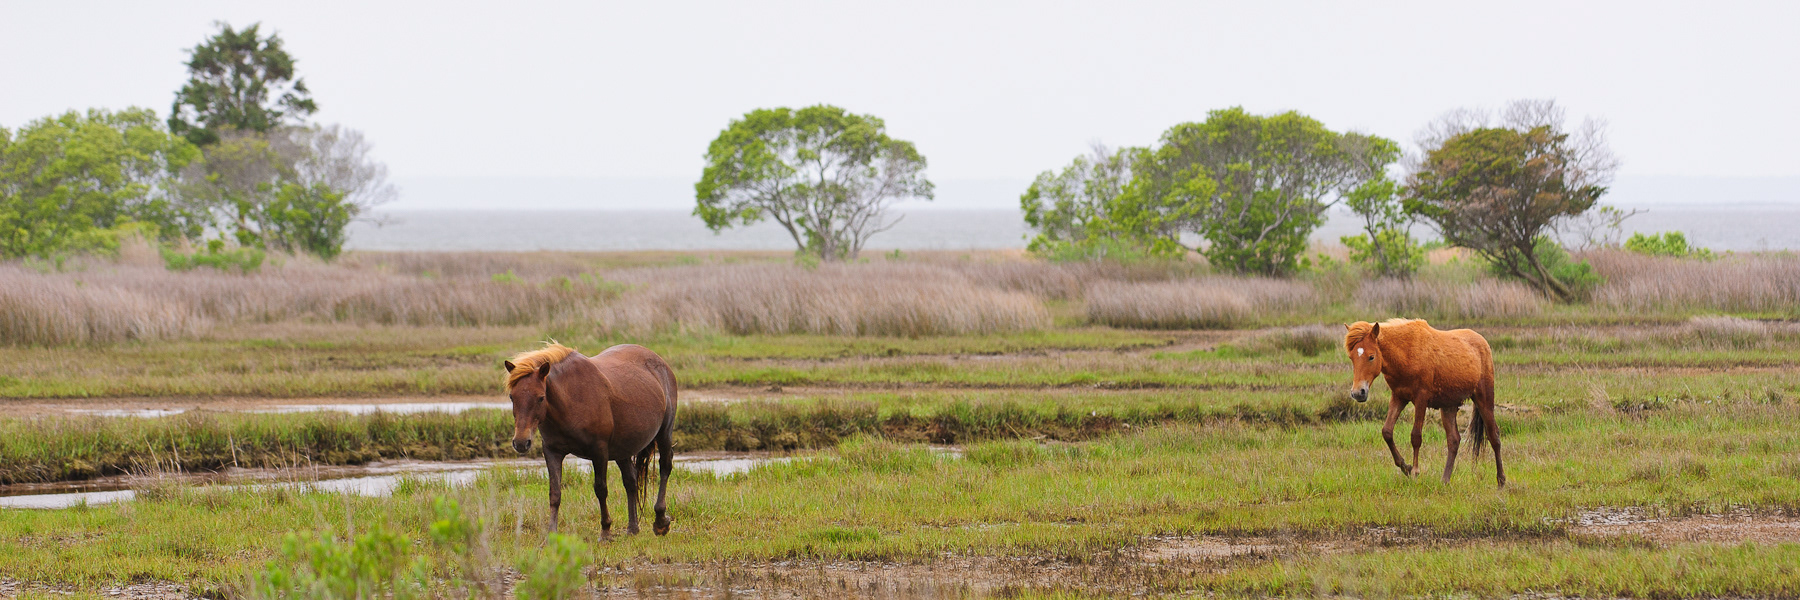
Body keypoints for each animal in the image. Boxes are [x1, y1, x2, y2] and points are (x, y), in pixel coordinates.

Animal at [504, 342, 679, 536]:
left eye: (541, 398)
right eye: (512, 397)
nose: (521, 442)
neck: (570, 399)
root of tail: (662, 364)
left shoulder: (599, 451)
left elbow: (601, 489)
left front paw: (605, 531)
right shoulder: (552, 451)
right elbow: (555, 493)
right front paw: (551, 533)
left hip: (664, 433)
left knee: (665, 467)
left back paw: (661, 520)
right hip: (623, 448)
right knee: (631, 481)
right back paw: (632, 528)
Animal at [1343, 319, 1505, 488]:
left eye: (1371, 357)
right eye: (1352, 358)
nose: (1358, 392)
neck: (1406, 353)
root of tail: (1483, 343)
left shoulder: (1421, 400)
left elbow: (1416, 437)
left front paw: (1415, 471)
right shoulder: (1398, 397)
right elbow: (1387, 432)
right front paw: (1405, 467)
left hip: (1484, 399)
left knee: (1494, 437)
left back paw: (1501, 481)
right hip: (1449, 406)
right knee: (1453, 440)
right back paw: (1445, 480)